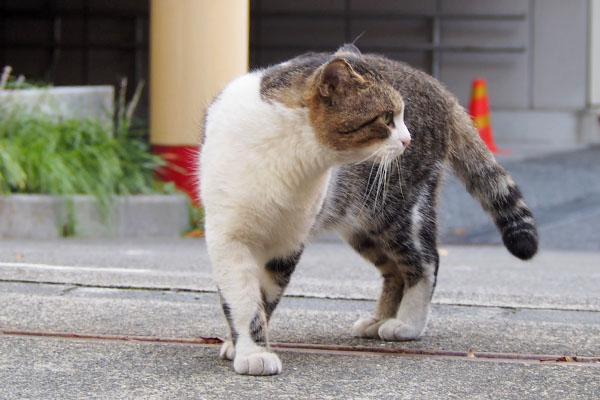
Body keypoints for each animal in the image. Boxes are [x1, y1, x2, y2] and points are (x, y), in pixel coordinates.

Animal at [199, 43, 536, 376]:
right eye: (386, 118)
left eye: (402, 116)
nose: (407, 138)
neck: (289, 157)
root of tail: (437, 86)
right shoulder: (227, 237)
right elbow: (243, 298)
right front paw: (246, 345)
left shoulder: (289, 242)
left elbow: (265, 297)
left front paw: (254, 350)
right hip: (363, 227)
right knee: (395, 272)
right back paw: (380, 320)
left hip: (397, 210)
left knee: (425, 262)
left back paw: (406, 324)